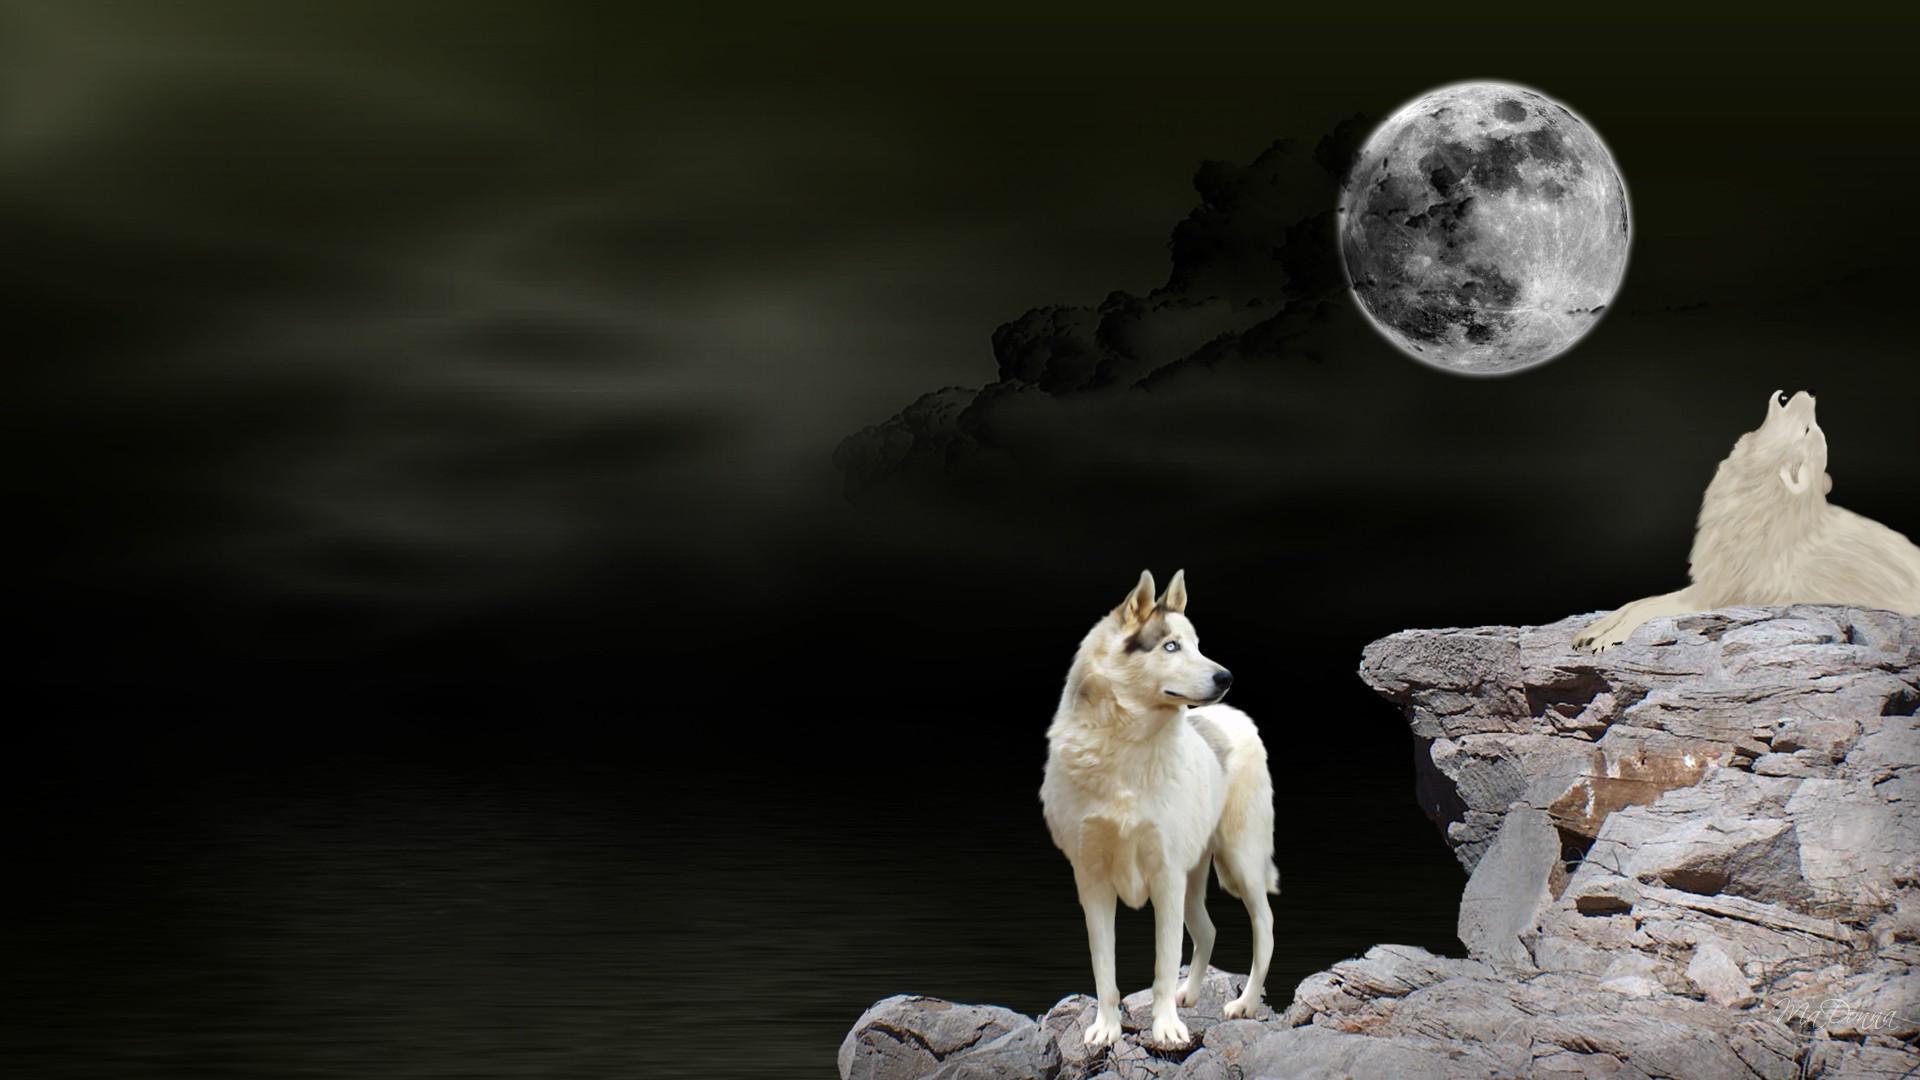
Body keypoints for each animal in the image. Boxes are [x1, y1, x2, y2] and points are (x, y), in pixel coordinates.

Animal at [1040, 570, 1279, 1048]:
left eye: (1197, 644)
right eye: (1171, 646)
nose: (1226, 676)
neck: (1124, 751)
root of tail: (1238, 717)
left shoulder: (1165, 876)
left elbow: (1163, 966)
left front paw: (1167, 1028)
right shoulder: (1092, 880)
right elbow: (1104, 968)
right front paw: (1106, 1029)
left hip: (1239, 863)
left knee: (1265, 927)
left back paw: (1244, 1004)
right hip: (1195, 877)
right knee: (1207, 929)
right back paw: (1192, 995)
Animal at [1575, 390, 1920, 653]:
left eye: (1808, 430)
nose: (1811, 393)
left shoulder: (1712, 597)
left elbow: (1645, 611)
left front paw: (1607, 640)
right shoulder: (1704, 583)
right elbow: (1635, 603)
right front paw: (1590, 631)